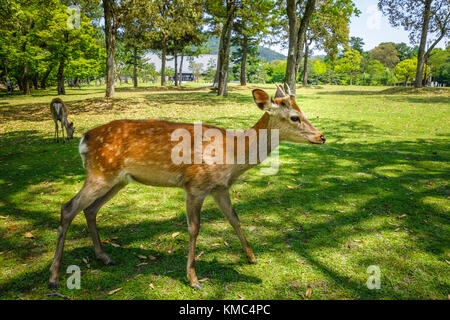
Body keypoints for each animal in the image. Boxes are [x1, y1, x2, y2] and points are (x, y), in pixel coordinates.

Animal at [48, 85, 324, 290]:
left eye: (303, 112)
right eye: (295, 117)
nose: (321, 136)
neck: (233, 155)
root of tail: (84, 140)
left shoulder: (220, 188)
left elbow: (234, 219)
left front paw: (252, 257)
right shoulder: (195, 185)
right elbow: (194, 228)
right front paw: (193, 279)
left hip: (117, 180)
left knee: (90, 209)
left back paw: (104, 257)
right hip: (100, 174)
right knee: (68, 208)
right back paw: (53, 277)